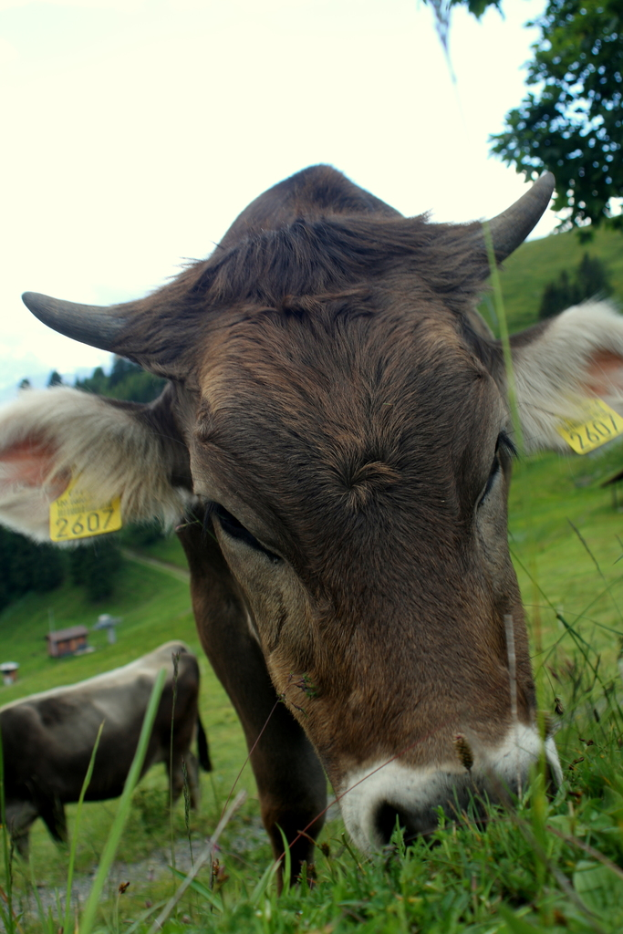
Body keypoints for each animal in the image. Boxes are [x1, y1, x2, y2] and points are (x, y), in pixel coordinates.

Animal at [0, 641, 211, 856]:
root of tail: (172, 647)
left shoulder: (48, 797)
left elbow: (60, 840)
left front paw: (68, 858)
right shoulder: (17, 816)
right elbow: (21, 849)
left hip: (176, 740)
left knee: (177, 780)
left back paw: (166, 821)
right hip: (181, 743)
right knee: (191, 769)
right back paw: (196, 813)